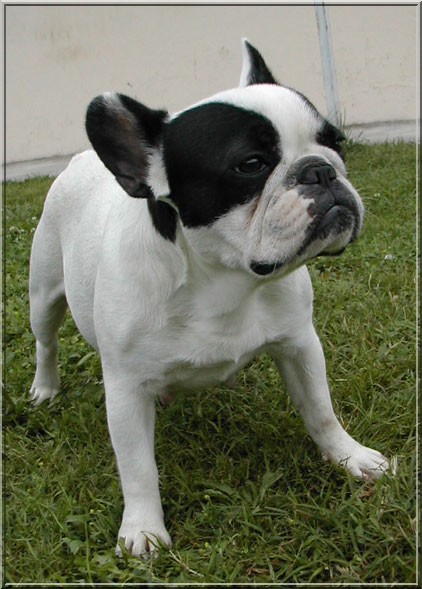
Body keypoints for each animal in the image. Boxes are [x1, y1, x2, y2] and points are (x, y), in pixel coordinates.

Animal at [29, 39, 389, 556]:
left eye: (335, 142)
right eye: (251, 165)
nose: (320, 170)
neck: (224, 279)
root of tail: (81, 159)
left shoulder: (300, 344)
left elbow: (321, 411)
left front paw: (350, 457)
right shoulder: (125, 390)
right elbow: (137, 468)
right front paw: (143, 529)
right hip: (43, 293)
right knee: (47, 342)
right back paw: (45, 389)